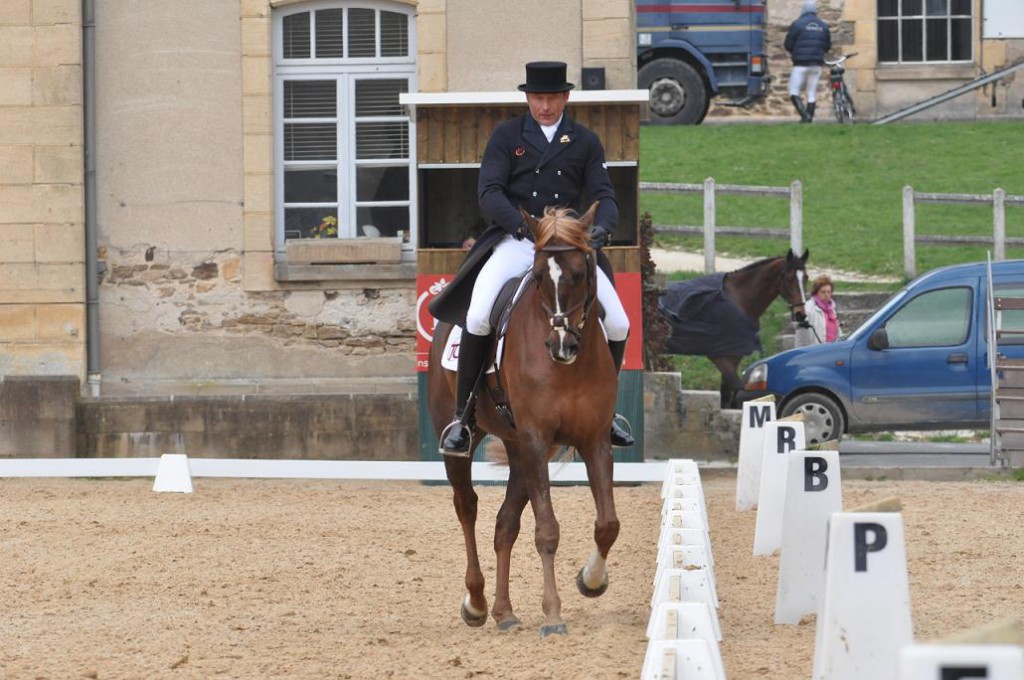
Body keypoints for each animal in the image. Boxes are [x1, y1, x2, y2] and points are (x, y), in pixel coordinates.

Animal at [423, 202, 614, 639]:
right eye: (540, 277)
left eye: (581, 273)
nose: (561, 346)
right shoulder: (535, 440)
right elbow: (547, 530)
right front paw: (554, 615)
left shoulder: (594, 439)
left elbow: (607, 524)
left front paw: (591, 581)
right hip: (469, 437)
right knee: (467, 506)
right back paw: (476, 603)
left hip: (517, 448)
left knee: (505, 523)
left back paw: (504, 611)